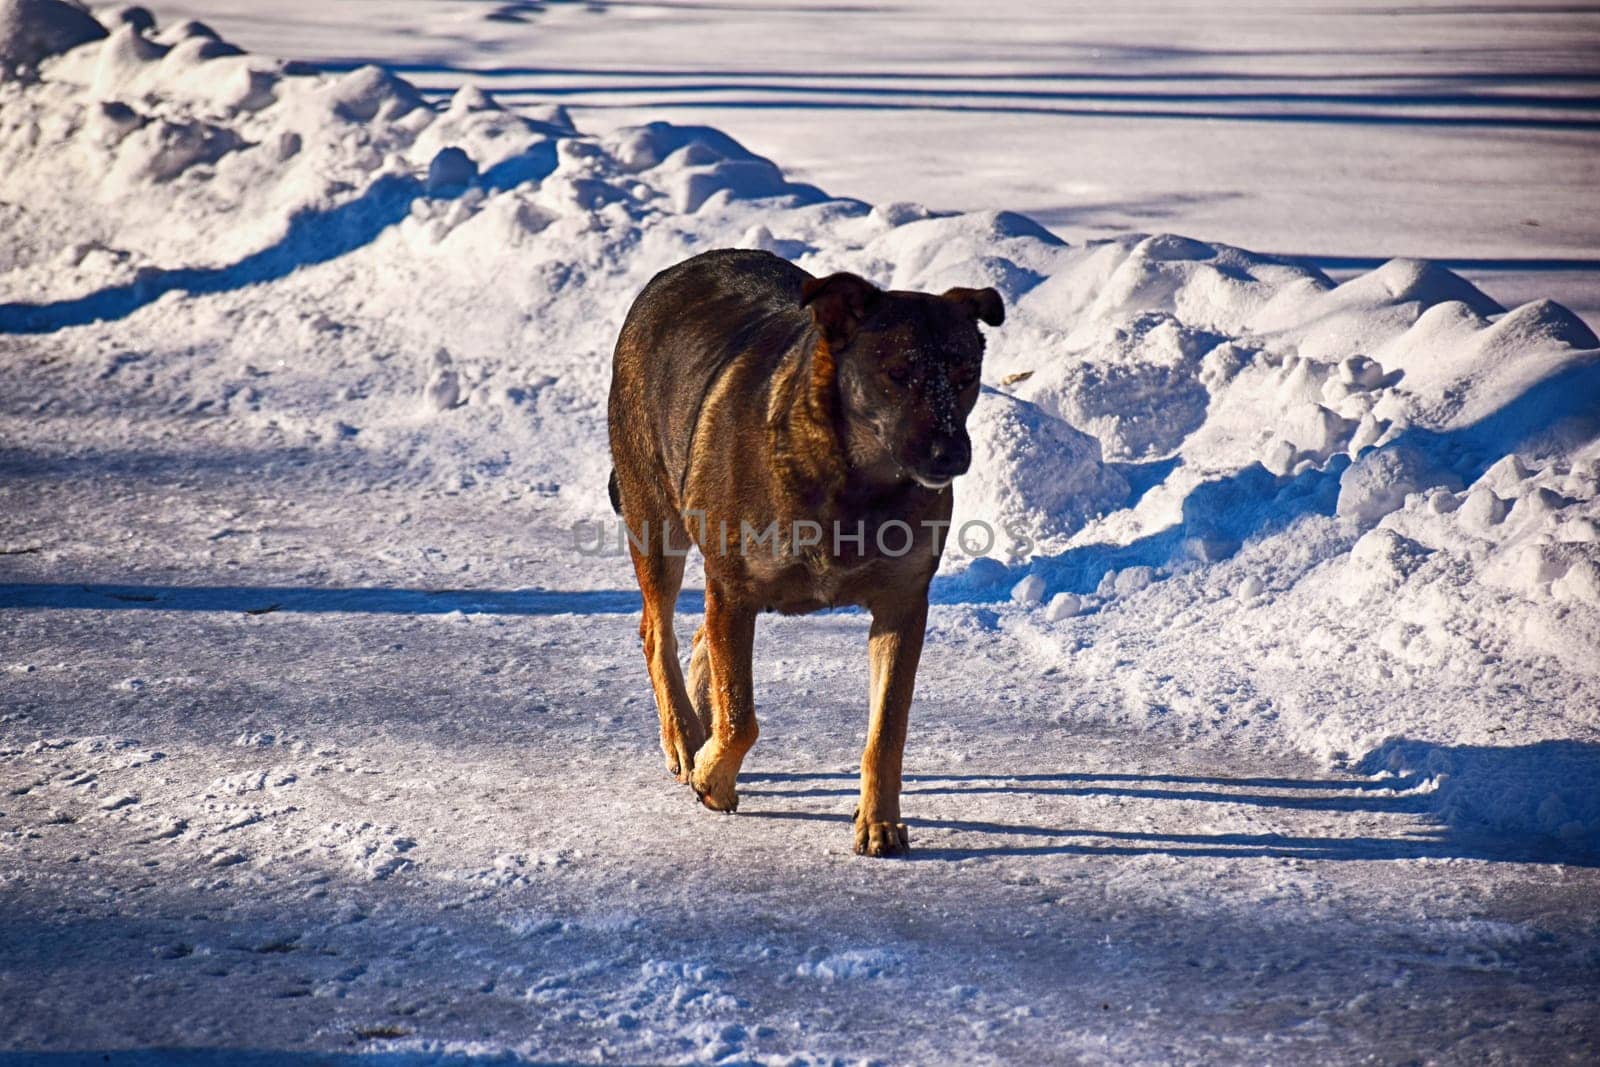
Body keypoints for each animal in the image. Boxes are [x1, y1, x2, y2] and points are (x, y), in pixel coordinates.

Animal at [608, 251, 998, 857]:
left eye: (965, 377)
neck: (856, 481)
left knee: (698, 637)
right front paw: (713, 777)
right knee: (657, 629)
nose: (951, 455)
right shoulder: (736, 588)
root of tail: (674, 272)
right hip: (655, 514)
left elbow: (887, 731)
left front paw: (879, 820)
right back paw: (685, 738)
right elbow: (741, 716)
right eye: (897, 374)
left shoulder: (903, 603)